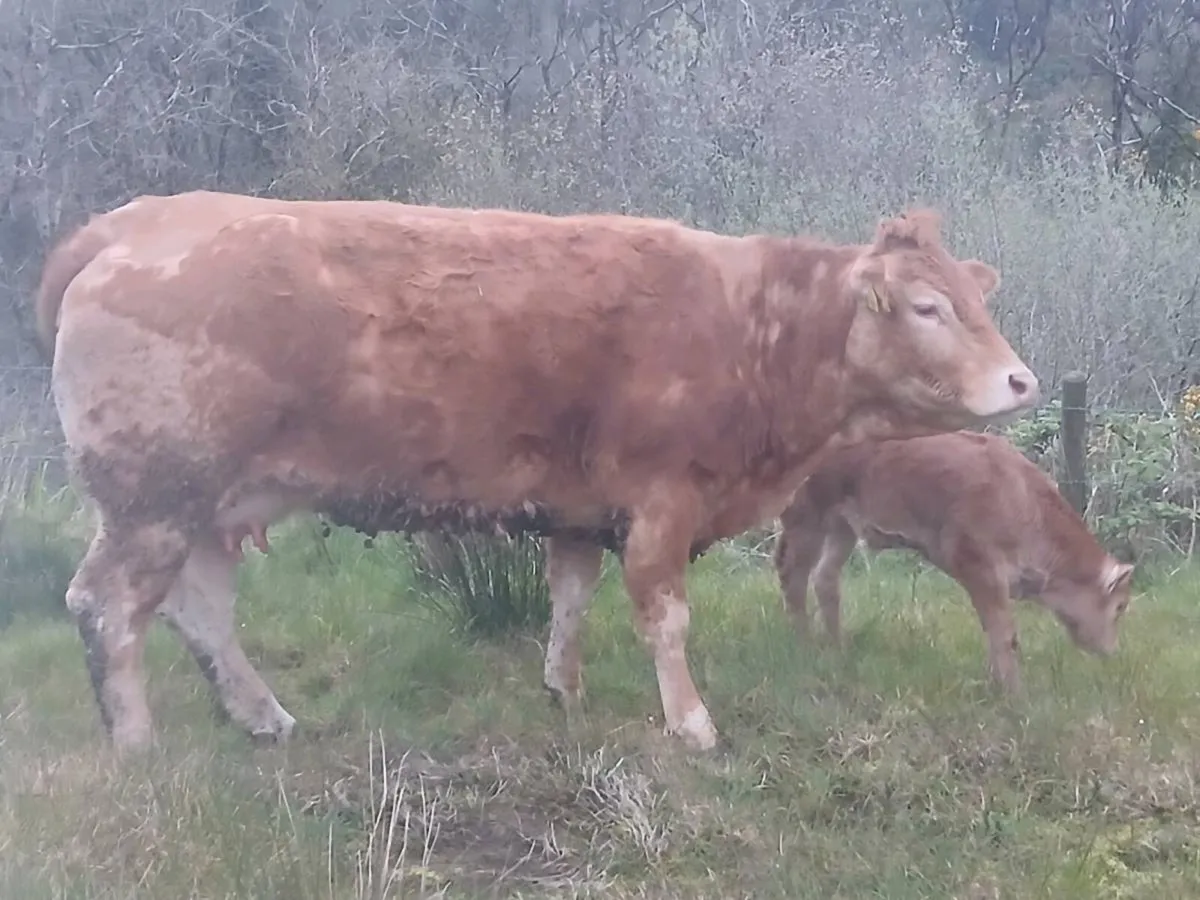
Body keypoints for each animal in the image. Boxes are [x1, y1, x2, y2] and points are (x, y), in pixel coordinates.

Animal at [35, 189, 1040, 755]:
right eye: (927, 305)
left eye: (977, 298)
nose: (1021, 380)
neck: (754, 326)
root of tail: (129, 222)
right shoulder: (661, 502)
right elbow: (665, 618)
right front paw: (692, 725)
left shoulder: (580, 507)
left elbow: (571, 597)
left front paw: (565, 689)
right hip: (154, 498)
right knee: (108, 606)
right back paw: (136, 742)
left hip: (204, 504)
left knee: (198, 607)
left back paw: (261, 717)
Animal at [773, 430, 1135, 691]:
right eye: (1119, 606)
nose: (1112, 651)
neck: (1021, 497)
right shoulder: (980, 569)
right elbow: (1004, 633)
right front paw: (1014, 693)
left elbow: (993, 630)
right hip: (807, 519)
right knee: (792, 574)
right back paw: (804, 645)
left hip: (842, 527)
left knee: (825, 579)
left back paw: (838, 648)